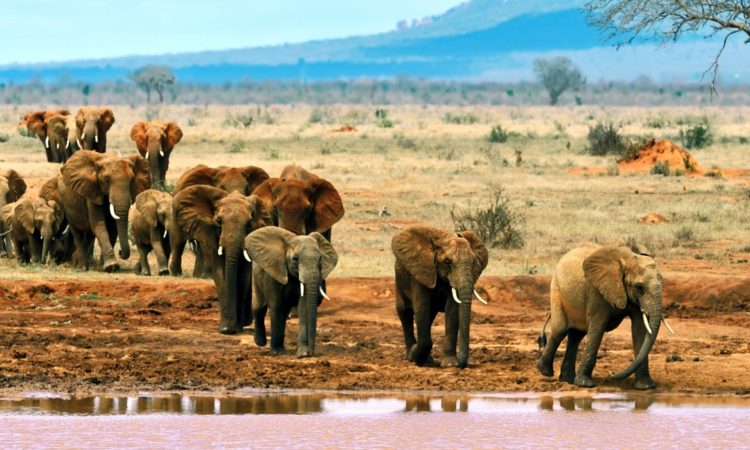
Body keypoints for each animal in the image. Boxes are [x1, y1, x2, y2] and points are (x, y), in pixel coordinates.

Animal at [173, 185, 270, 334]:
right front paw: (225, 329)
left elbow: (243, 276)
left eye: (249, 224)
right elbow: (220, 273)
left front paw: (236, 328)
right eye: (219, 221)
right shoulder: (212, 236)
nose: (229, 329)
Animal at [244, 226, 338, 357]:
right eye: (295, 259)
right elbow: (277, 305)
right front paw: (277, 353)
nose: (312, 352)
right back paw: (260, 342)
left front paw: (303, 354)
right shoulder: (274, 273)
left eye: (320, 259)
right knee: (259, 307)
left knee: (283, 312)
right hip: (256, 276)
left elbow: (304, 306)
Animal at [392, 226, 489, 368]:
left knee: (429, 316)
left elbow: (453, 311)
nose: (462, 364)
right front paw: (416, 356)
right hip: (399, 280)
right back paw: (411, 355)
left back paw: (425, 358)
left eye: (473, 263)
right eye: (447, 262)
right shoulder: (421, 271)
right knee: (405, 311)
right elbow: (421, 307)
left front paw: (450, 364)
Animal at [536, 244, 668, 390]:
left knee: (576, 336)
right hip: (557, 290)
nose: (611, 374)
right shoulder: (597, 292)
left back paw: (567, 380)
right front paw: (585, 384)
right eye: (639, 287)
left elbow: (640, 329)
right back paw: (545, 371)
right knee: (560, 330)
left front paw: (646, 387)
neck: (626, 260)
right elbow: (598, 326)